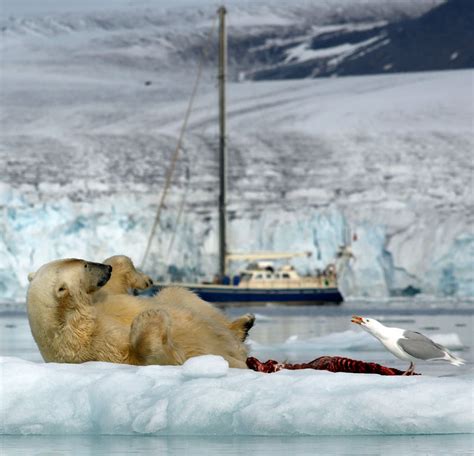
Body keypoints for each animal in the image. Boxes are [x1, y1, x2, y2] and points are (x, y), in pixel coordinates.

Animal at [26, 258, 252, 368]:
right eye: (86, 265)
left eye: (81, 259)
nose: (106, 268)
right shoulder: (93, 347)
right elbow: (154, 356)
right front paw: (150, 317)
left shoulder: (101, 301)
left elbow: (115, 288)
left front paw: (138, 276)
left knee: (182, 296)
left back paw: (243, 324)